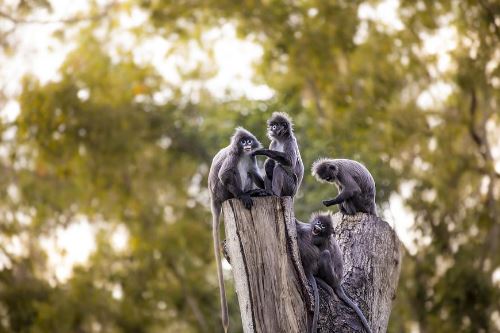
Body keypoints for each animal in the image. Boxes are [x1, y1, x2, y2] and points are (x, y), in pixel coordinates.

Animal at [208, 126, 268, 330]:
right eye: (243, 142)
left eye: (248, 140)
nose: (247, 144)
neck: (243, 154)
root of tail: (215, 200)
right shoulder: (233, 157)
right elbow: (225, 175)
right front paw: (243, 196)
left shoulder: (251, 158)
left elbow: (254, 173)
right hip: (222, 192)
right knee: (231, 175)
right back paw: (244, 195)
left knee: (248, 174)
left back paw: (256, 192)